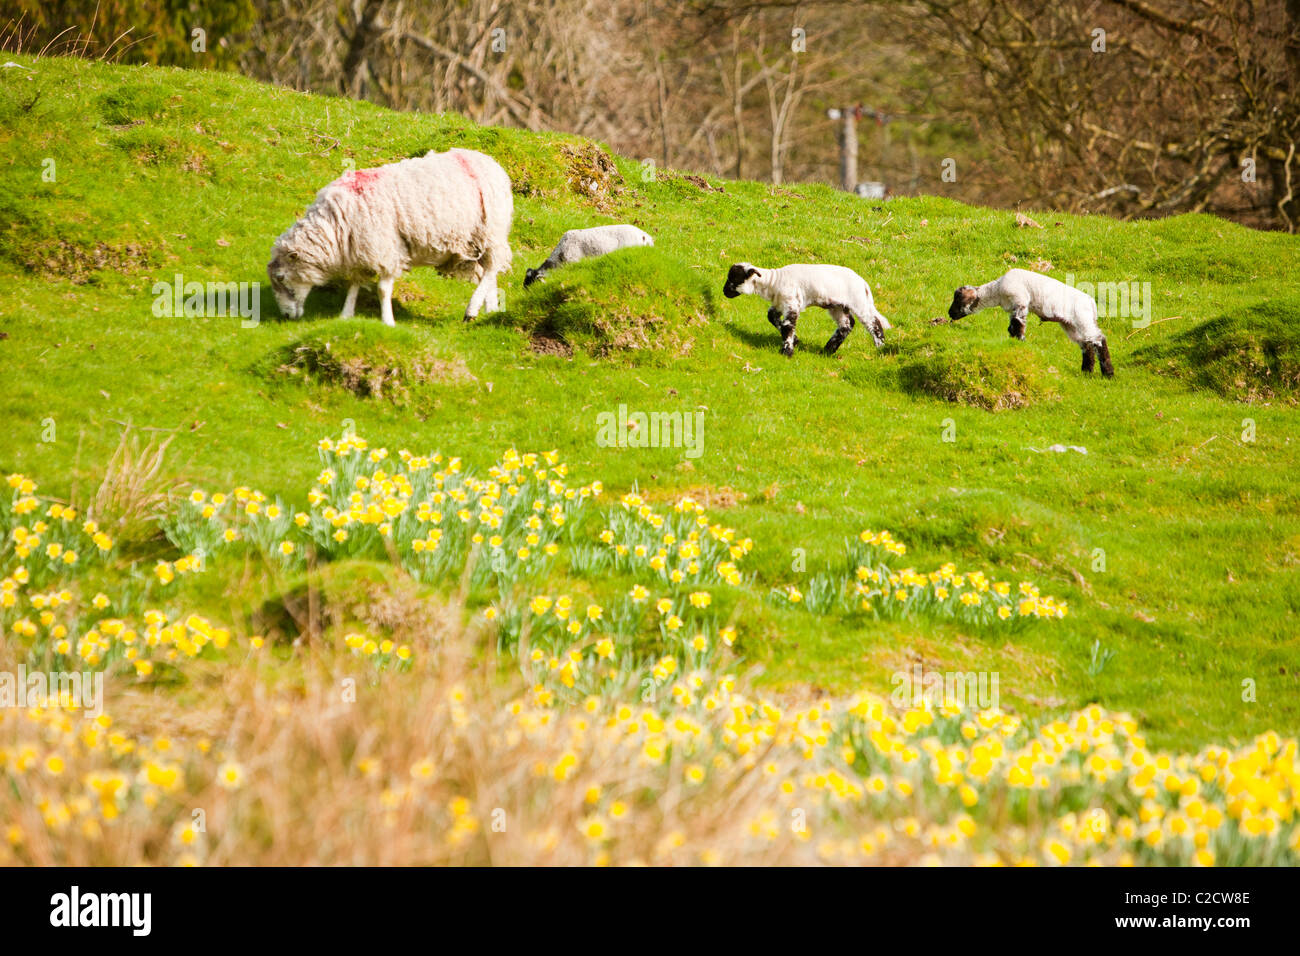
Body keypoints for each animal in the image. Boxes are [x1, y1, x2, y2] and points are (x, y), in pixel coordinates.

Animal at [267, 148, 513, 326]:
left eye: (281, 277)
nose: (286, 317)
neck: (335, 225)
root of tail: (490, 162)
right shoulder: (360, 250)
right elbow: (354, 284)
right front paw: (345, 315)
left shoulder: (384, 248)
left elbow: (383, 289)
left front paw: (387, 321)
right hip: (475, 242)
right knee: (488, 272)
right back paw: (490, 309)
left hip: (492, 231)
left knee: (491, 268)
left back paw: (471, 310)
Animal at [722, 262, 891, 357]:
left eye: (733, 279)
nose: (724, 291)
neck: (773, 282)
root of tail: (864, 284)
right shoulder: (780, 304)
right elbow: (772, 318)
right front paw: (796, 341)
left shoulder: (792, 304)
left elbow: (787, 326)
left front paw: (787, 351)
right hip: (838, 306)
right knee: (847, 325)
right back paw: (828, 350)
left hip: (858, 302)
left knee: (874, 324)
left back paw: (880, 348)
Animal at [947, 268, 1113, 377]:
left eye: (958, 299)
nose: (949, 313)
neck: (996, 291)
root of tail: (1091, 302)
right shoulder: (1013, 307)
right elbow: (1012, 327)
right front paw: (1014, 341)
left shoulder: (1020, 302)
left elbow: (1019, 325)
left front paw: (1020, 341)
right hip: (1070, 324)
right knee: (1086, 345)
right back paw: (1087, 371)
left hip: (1083, 319)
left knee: (1098, 340)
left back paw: (1108, 373)